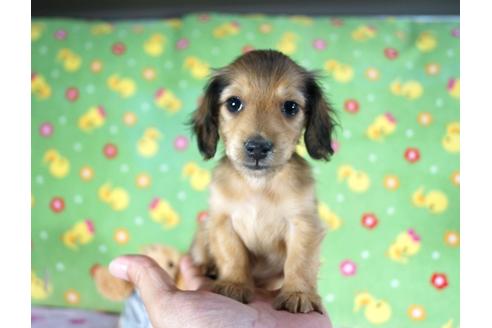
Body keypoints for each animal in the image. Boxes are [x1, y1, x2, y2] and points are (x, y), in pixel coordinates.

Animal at [188, 49, 334, 312]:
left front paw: (298, 293)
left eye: (290, 107)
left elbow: (300, 261)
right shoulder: (222, 220)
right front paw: (234, 284)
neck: (259, 185)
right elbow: (232, 254)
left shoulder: (303, 223)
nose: (257, 148)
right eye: (233, 103)